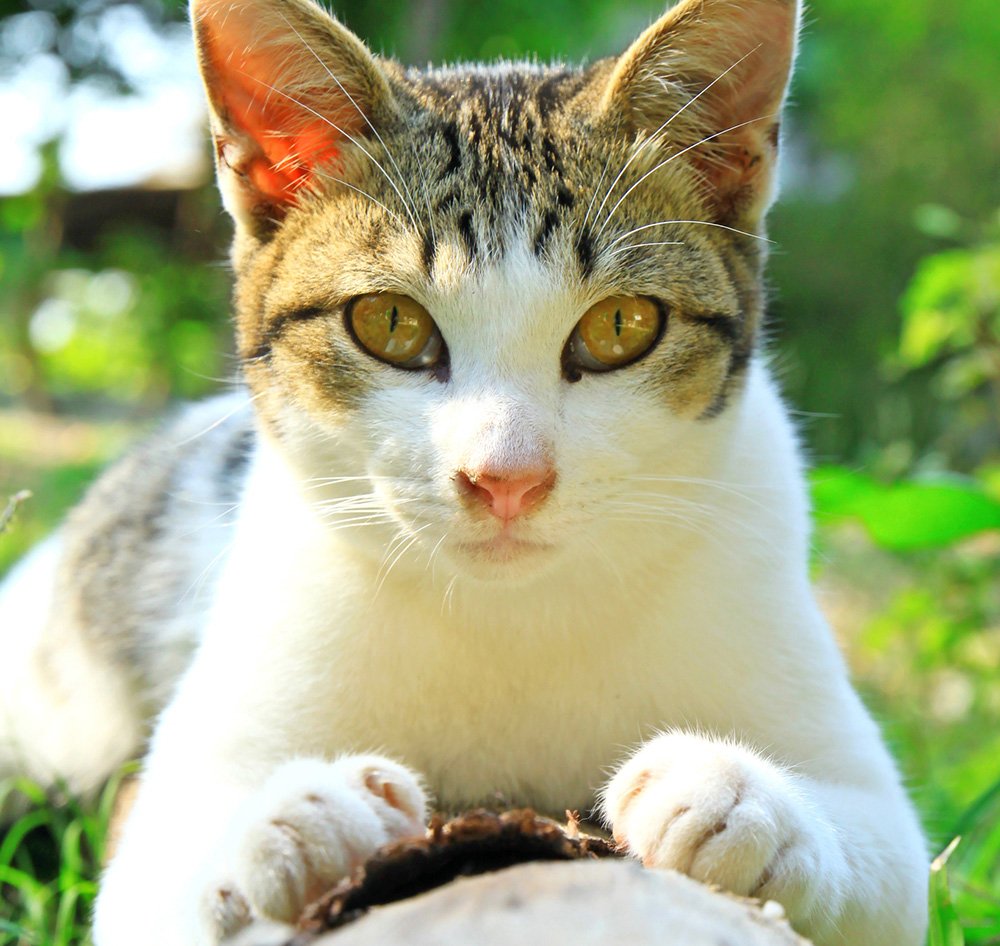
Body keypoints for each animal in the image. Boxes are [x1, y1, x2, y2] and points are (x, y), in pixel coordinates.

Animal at [0, 0, 928, 940]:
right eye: (390, 323)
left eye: (622, 325)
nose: (506, 478)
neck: (511, 615)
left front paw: (733, 798)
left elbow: (889, 862)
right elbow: (156, 874)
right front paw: (295, 818)